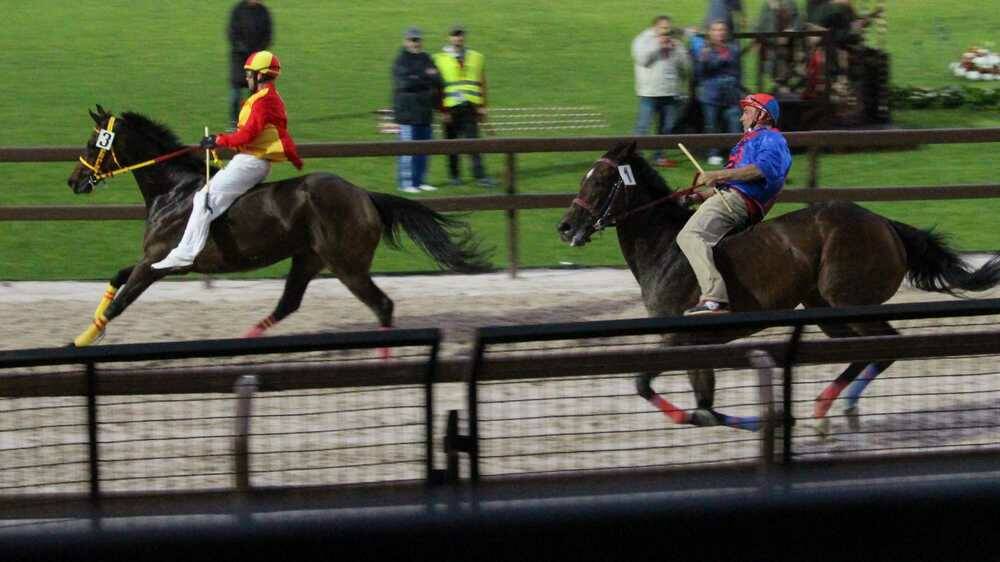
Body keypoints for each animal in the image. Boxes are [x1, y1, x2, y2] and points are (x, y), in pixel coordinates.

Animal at [64, 103, 490, 344]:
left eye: (93, 142)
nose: (74, 181)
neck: (174, 191)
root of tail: (364, 195)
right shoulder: (155, 261)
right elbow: (115, 282)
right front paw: (85, 336)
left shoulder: (158, 263)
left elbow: (119, 304)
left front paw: (78, 342)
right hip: (309, 257)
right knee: (289, 302)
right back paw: (246, 340)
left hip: (346, 265)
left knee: (382, 304)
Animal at [560, 140, 996, 428]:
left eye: (599, 181)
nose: (565, 227)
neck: (665, 246)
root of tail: (885, 223)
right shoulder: (693, 343)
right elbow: (704, 407)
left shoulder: (679, 334)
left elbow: (660, 392)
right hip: (824, 309)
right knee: (861, 352)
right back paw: (823, 409)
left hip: (848, 299)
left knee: (886, 345)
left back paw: (841, 408)